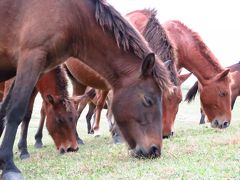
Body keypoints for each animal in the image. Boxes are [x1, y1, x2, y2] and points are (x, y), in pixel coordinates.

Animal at [0, 0, 172, 177]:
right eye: (148, 100)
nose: (155, 150)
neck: (72, 16)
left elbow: (3, 111)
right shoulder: (30, 60)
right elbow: (16, 112)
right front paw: (9, 165)